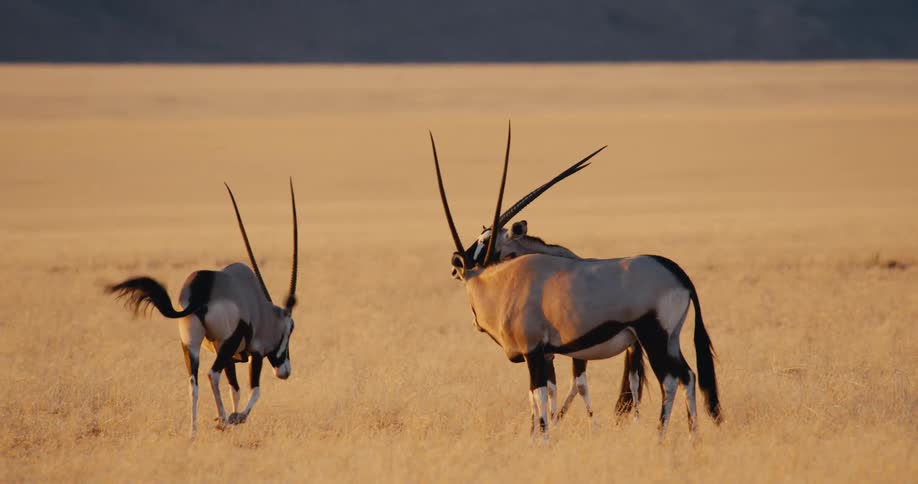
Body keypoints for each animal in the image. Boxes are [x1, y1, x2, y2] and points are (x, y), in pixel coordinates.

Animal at [107, 180, 299, 435]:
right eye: (290, 329)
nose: (285, 371)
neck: (262, 308)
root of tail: (202, 291)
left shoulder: (230, 356)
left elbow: (235, 389)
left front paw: (231, 418)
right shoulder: (253, 352)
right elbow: (254, 390)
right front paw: (237, 417)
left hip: (191, 344)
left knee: (193, 382)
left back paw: (194, 432)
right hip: (225, 344)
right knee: (212, 374)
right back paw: (223, 420)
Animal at [431, 126, 721, 440]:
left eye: (487, 241)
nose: (456, 265)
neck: (505, 282)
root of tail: (677, 272)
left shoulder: (536, 351)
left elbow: (544, 393)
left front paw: (546, 435)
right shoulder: (548, 354)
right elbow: (544, 394)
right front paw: (540, 431)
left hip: (652, 336)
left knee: (668, 380)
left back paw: (659, 435)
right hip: (668, 339)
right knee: (687, 376)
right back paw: (693, 435)